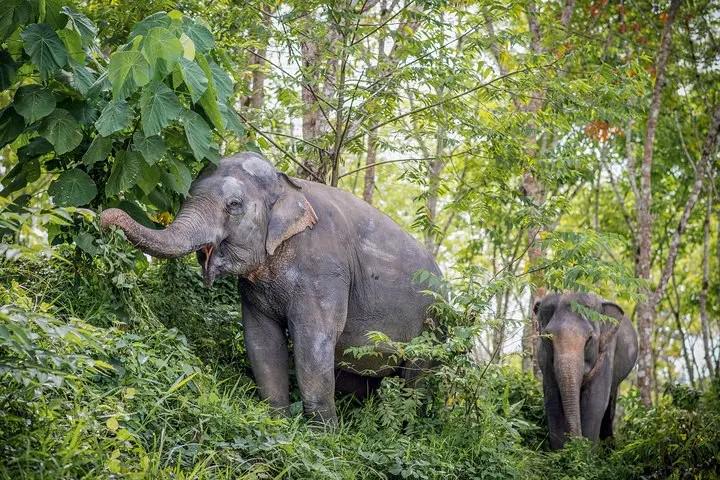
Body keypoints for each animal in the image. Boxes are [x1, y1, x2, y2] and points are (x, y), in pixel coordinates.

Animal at [100, 152, 441, 424]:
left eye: (233, 205)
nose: (103, 218)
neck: (287, 184)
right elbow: (262, 340)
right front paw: (277, 422)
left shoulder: (325, 269)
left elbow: (314, 340)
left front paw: (324, 438)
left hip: (432, 328)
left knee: (415, 380)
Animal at [534, 292, 638, 449]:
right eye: (548, 338)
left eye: (589, 338)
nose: (576, 441)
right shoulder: (545, 360)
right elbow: (552, 402)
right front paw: (562, 453)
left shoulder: (607, 351)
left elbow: (594, 402)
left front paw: (584, 452)